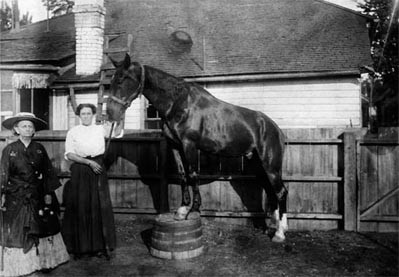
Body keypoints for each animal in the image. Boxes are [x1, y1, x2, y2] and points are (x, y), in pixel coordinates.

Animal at [108, 54, 290, 242]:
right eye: (111, 80)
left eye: (122, 79)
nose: (110, 112)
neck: (178, 103)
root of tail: (275, 128)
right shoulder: (175, 146)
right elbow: (183, 175)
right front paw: (182, 210)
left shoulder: (190, 145)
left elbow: (193, 174)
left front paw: (194, 209)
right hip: (258, 167)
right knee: (271, 191)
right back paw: (274, 227)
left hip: (270, 166)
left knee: (281, 192)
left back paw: (280, 233)